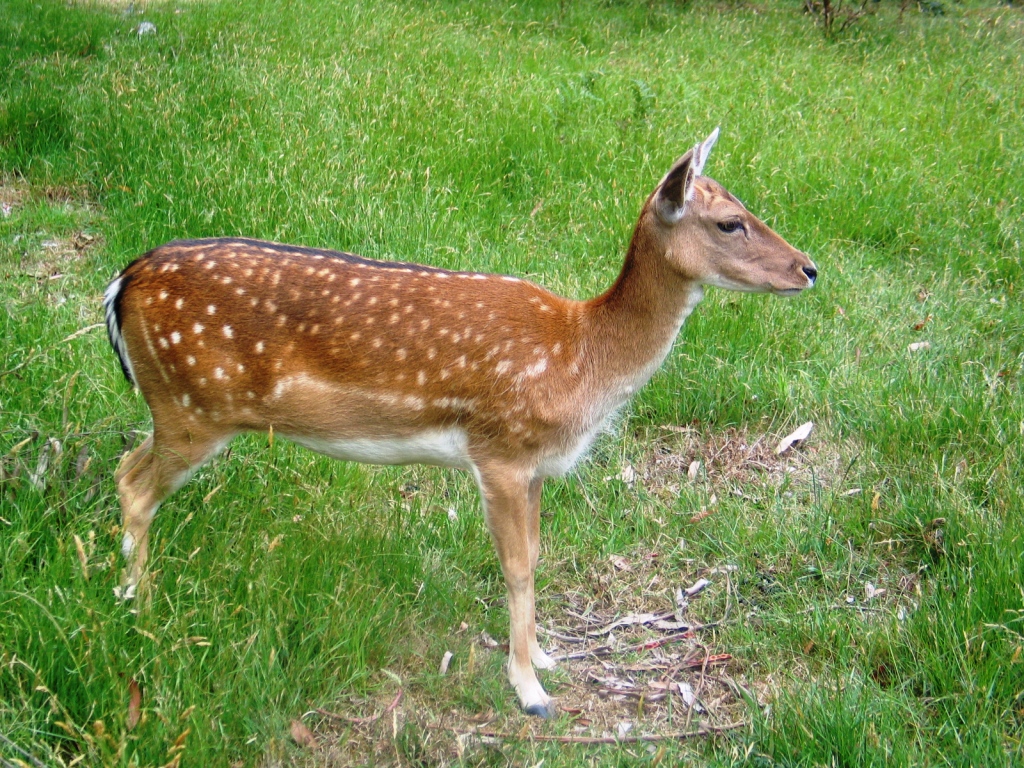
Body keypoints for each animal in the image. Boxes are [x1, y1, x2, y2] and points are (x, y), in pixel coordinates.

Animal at [103, 128, 816, 718]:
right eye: (730, 222)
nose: (808, 268)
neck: (580, 359)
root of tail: (121, 281)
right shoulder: (499, 449)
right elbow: (516, 567)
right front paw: (531, 691)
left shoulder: (536, 465)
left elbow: (537, 553)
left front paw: (545, 657)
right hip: (191, 406)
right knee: (134, 483)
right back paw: (136, 606)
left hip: (179, 408)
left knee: (124, 467)